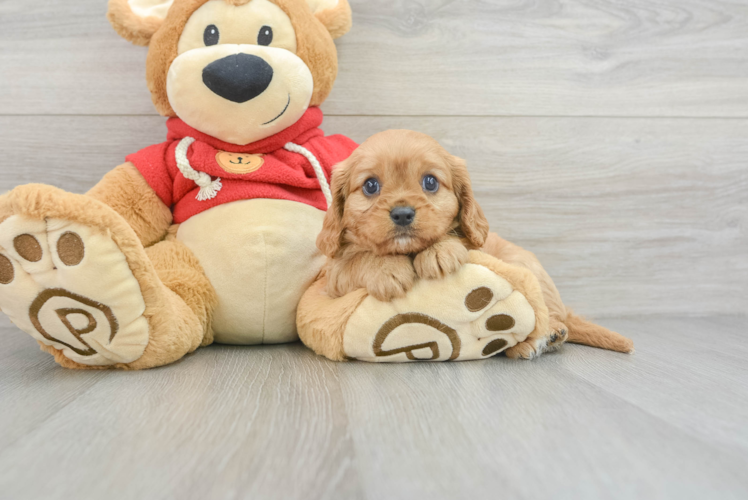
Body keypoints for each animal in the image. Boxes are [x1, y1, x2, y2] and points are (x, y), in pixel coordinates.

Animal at [318, 129, 488, 300]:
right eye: (370, 185)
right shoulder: (334, 274)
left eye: (431, 182)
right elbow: (356, 258)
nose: (402, 215)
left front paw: (441, 249)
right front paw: (386, 268)